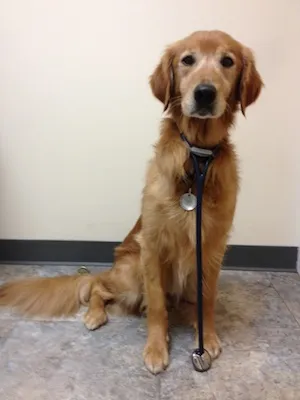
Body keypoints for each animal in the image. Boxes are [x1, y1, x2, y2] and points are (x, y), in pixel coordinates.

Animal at [0, 31, 262, 376]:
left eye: (227, 61)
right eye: (187, 60)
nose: (205, 93)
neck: (196, 158)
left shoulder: (212, 246)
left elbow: (208, 298)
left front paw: (207, 338)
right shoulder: (152, 244)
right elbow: (157, 307)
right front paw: (156, 348)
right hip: (132, 269)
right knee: (98, 286)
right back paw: (95, 314)